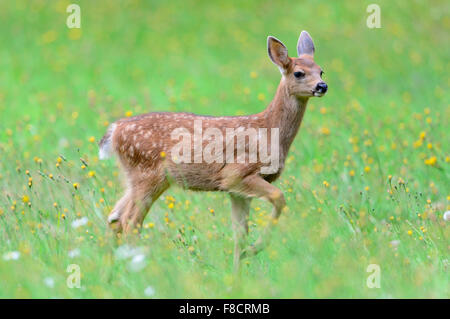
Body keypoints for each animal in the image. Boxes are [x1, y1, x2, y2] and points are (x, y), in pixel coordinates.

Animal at [99, 30, 326, 272]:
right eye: (299, 73)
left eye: (321, 70)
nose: (322, 86)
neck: (269, 130)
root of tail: (114, 131)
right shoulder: (236, 174)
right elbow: (279, 197)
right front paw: (253, 250)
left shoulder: (236, 191)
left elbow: (240, 233)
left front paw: (238, 270)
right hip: (147, 174)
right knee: (130, 222)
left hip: (141, 178)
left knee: (114, 218)